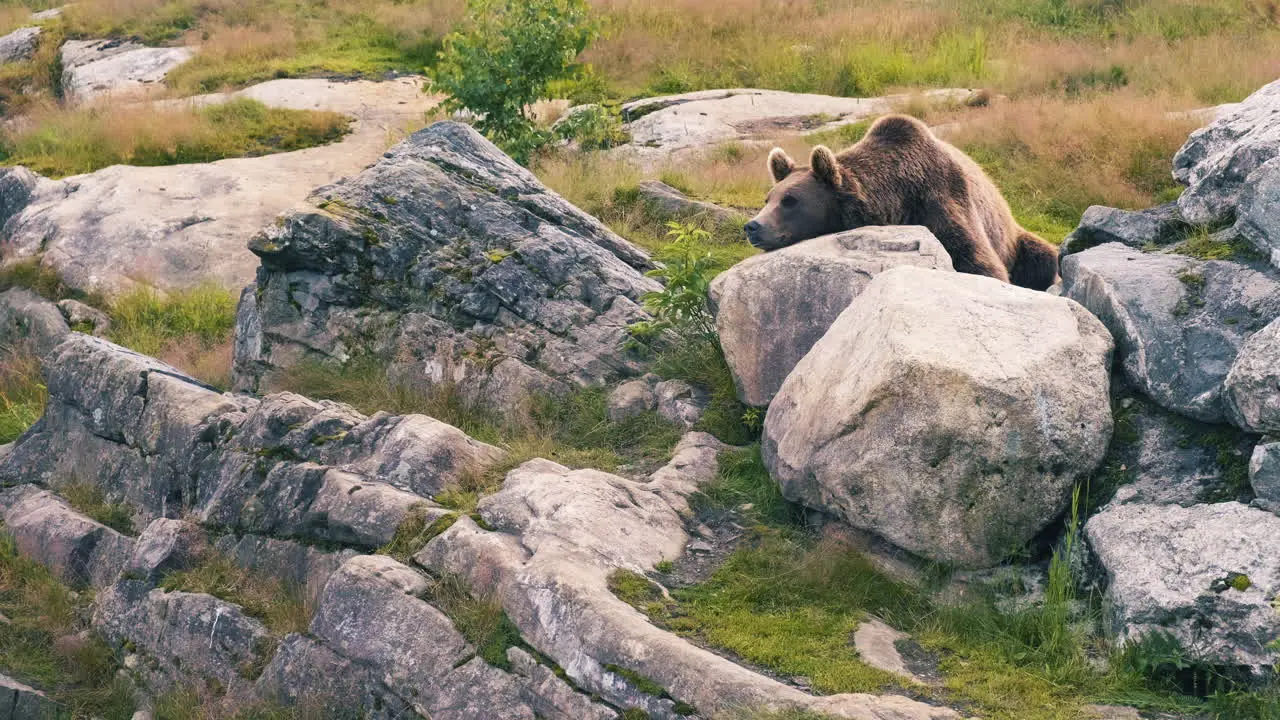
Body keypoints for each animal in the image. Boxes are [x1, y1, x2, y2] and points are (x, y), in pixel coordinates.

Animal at [747, 113, 1054, 286]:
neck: (896, 198)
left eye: (790, 200)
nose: (753, 226)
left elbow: (980, 263)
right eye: (768, 199)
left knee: (1043, 259)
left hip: (1015, 240)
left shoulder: (943, 199)